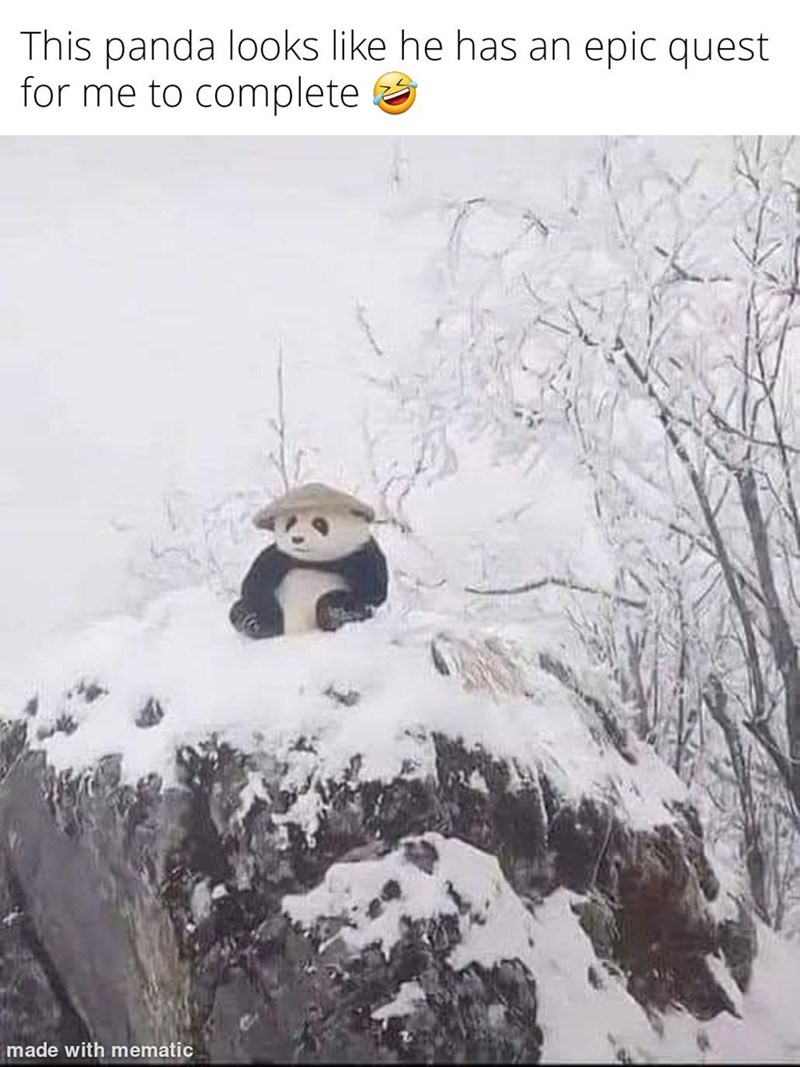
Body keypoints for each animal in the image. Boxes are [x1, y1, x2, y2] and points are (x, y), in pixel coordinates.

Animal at [229, 482, 388, 639]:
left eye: (319, 523)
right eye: (290, 522)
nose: (297, 538)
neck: (315, 561)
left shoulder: (360, 555)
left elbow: (371, 591)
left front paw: (335, 613)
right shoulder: (280, 557)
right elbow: (256, 584)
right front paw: (254, 620)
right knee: (240, 609)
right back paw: (253, 622)